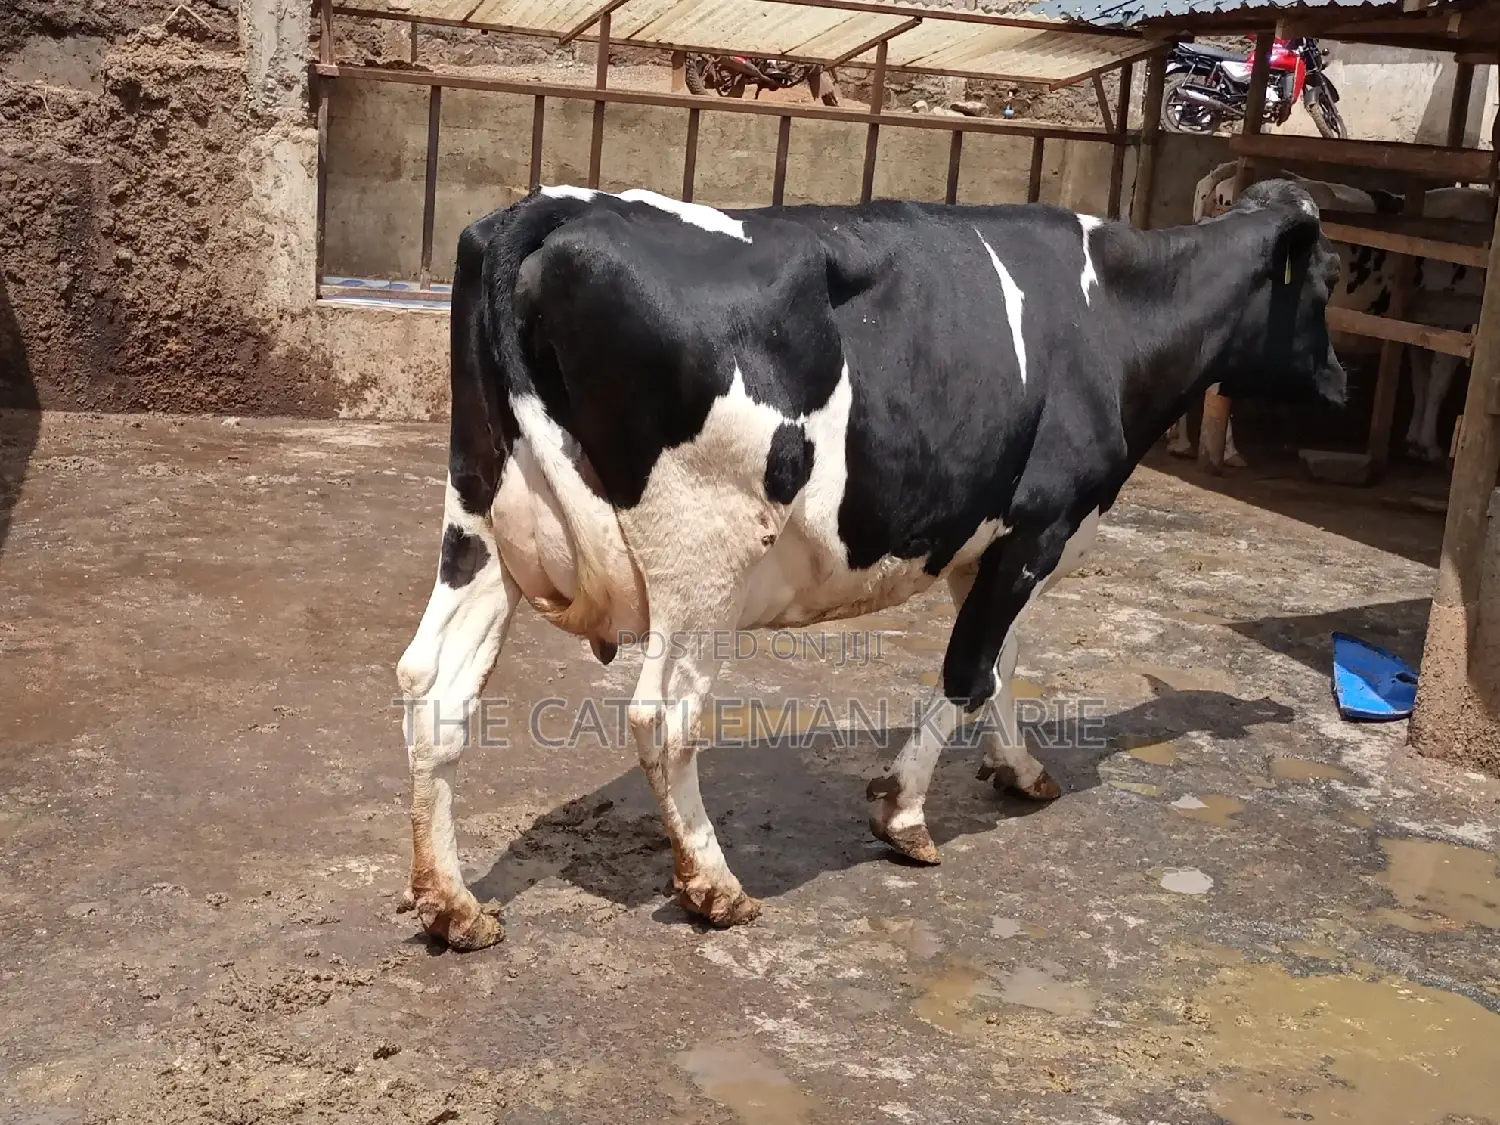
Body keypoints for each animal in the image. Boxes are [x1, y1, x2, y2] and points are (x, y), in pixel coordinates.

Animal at [395, 180, 1346, 950]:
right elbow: (970, 670)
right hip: (703, 551)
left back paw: (453, 903)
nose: (1340, 383)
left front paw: (1019, 769)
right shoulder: (1042, 525)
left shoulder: (988, 541)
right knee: (662, 715)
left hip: (478, 519)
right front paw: (905, 812)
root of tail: (556, 208)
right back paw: (714, 884)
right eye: (1328, 283)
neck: (1114, 310)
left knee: (433, 686)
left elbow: (1002, 666)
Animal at [1167, 162, 1489, 465]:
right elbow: (1438, 385)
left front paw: (1415, 441)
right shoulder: (1455, 318)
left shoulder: (1423, 322)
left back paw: (1180, 443)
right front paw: (1428, 447)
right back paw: (1229, 452)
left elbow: (1421, 381)